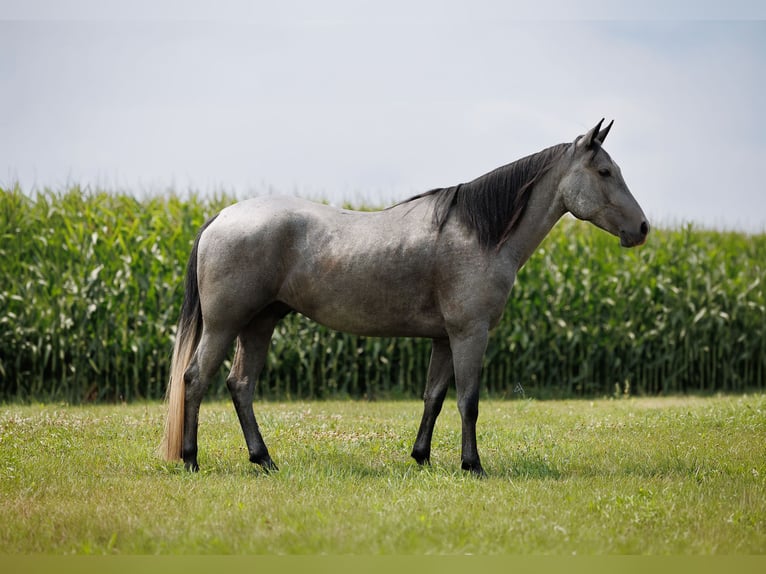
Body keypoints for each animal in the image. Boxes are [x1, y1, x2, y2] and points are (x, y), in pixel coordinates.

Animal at [159, 119, 649, 476]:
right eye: (605, 172)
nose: (642, 228)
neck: (480, 234)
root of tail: (222, 216)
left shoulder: (444, 338)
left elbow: (434, 396)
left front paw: (421, 458)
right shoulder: (470, 333)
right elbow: (468, 400)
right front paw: (472, 466)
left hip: (260, 324)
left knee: (240, 385)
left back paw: (264, 461)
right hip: (225, 325)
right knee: (196, 379)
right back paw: (191, 460)